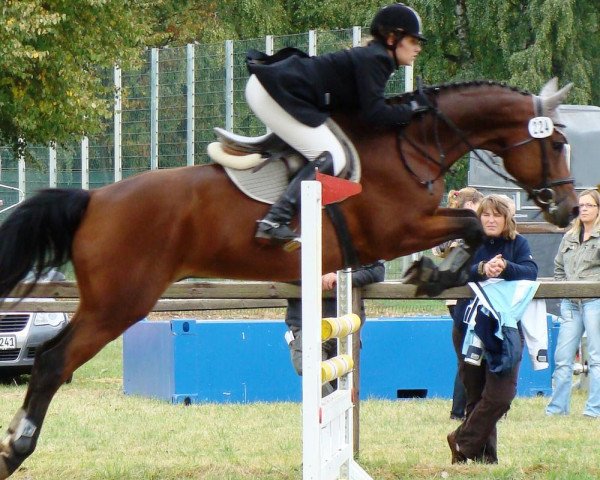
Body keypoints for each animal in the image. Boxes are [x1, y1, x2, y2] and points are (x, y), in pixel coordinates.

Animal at [0, 78, 576, 476]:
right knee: (50, 363)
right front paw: (433, 273)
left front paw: (437, 272)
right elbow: (473, 223)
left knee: (49, 359)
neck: (412, 145)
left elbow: (470, 226)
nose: (569, 210)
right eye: (554, 145)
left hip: (111, 301)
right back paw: (16, 450)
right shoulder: (398, 228)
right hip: (119, 302)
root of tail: (93, 198)